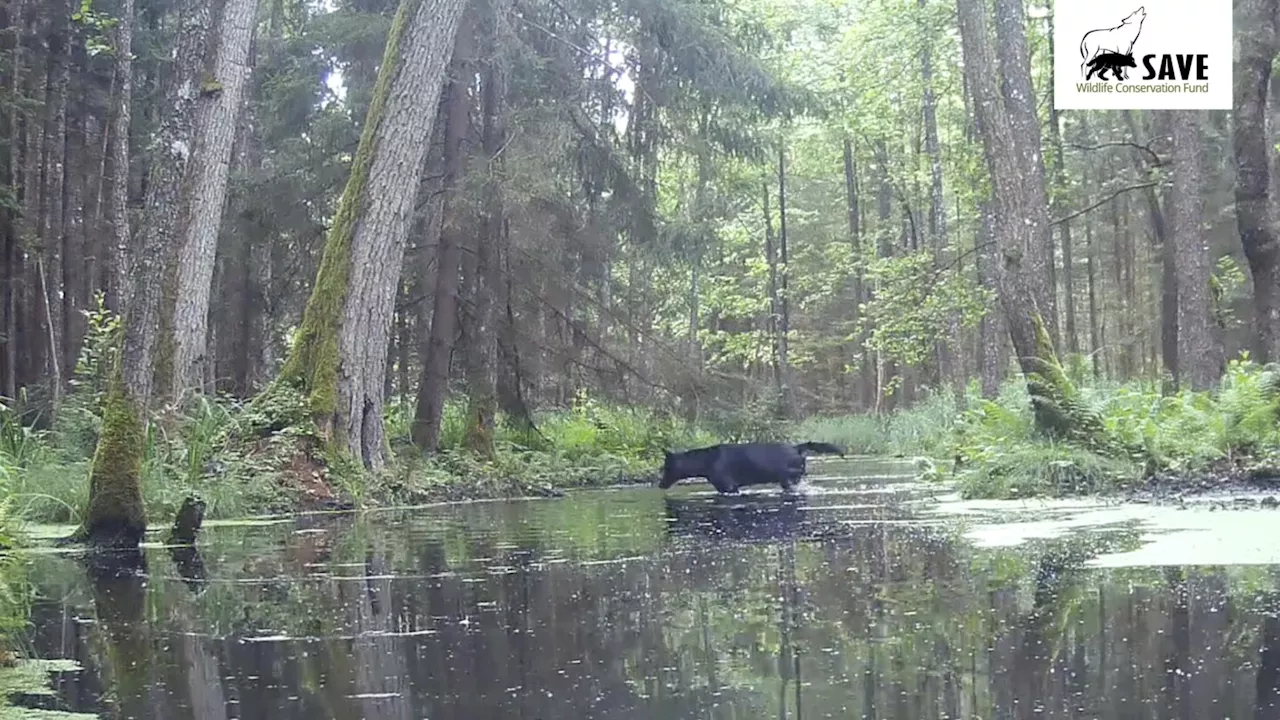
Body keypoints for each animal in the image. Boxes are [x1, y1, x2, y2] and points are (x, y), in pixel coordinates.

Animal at [655, 438, 844, 491]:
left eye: (666, 467)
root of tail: (797, 448)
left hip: (788, 479)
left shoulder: (729, 487)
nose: (660, 484)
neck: (704, 462)